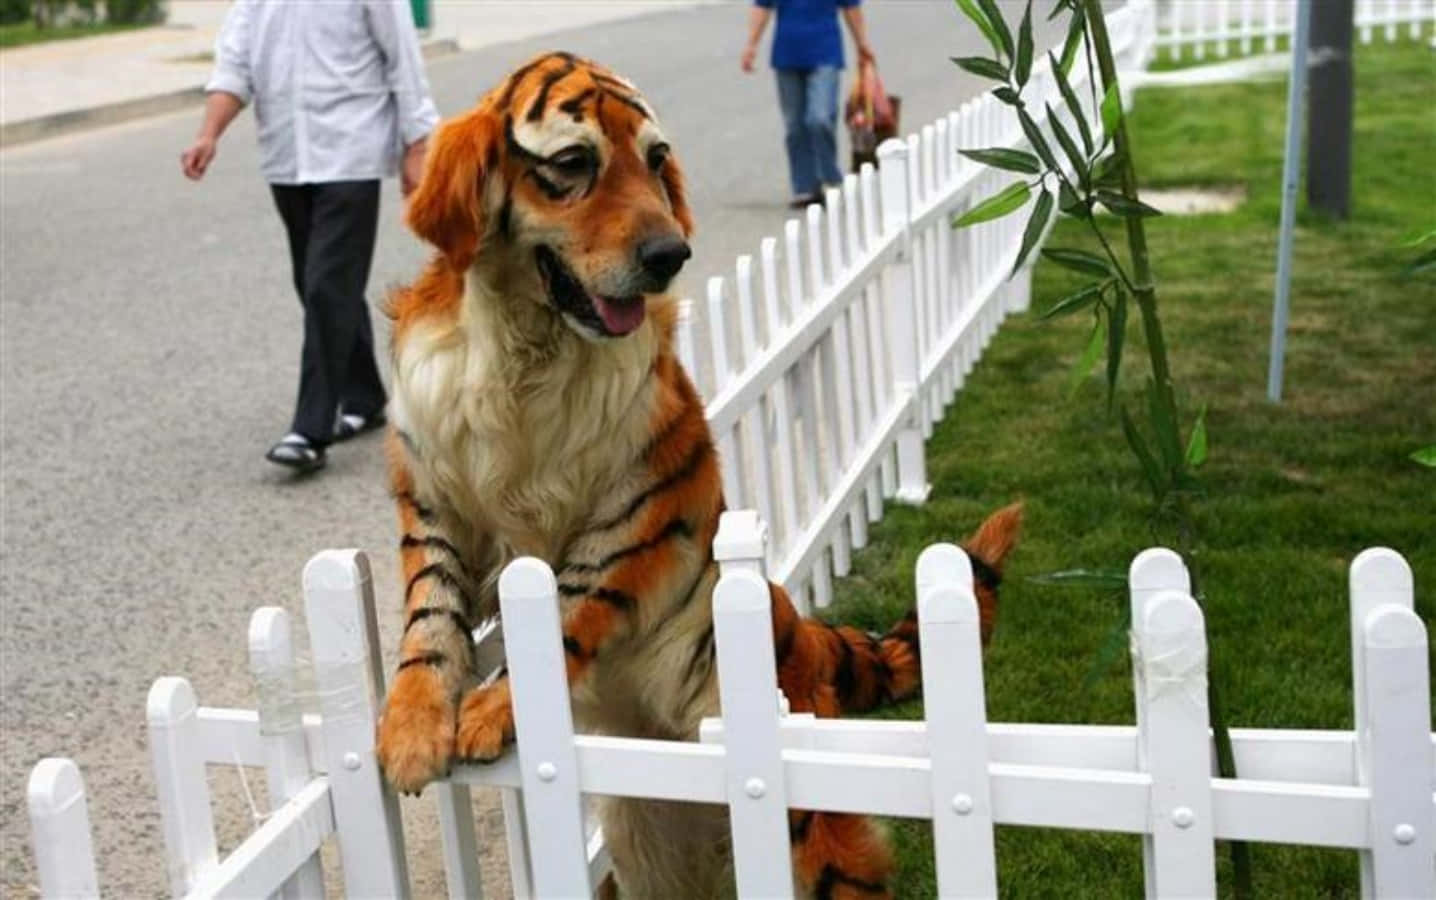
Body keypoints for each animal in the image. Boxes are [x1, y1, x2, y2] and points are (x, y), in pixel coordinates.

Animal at [374, 51, 1024, 898]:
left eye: (655, 161)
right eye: (574, 164)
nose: (669, 255)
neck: (528, 352)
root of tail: (796, 627)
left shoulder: (639, 504)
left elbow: (566, 605)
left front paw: (492, 707)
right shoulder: (435, 499)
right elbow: (429, 616)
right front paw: (412, 727)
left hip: (806, 829)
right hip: (644, 834)